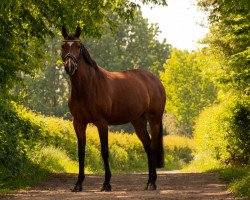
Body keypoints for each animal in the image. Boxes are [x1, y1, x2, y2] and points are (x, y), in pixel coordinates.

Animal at [60, 25, 166, 192]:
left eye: (78, 46)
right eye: (63, 46)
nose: (70, 66)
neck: (87, 87)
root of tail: (155, 80)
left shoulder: (102, 123)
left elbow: (104, 151)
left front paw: (106, 183)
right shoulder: (78, 123)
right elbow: (80, 152)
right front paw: (78, 184)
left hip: (154, 119)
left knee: (154, 147)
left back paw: (153, 183)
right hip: (138, 121)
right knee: (148, 146)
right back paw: (149, 181)